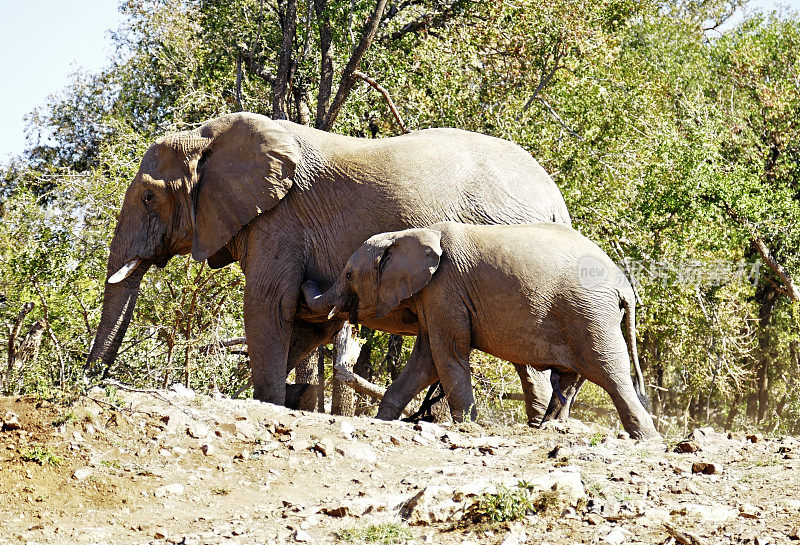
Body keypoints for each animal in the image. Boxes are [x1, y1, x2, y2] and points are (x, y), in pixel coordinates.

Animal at [87, 111, 572, 416]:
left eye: (148, 198)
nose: (86, 383)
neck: (207, 136)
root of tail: (556, 200)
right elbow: (305, 323)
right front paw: (290, 394)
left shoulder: (279, 222)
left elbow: (268, 305)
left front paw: (270, 401)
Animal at [304, 221, 660, 438]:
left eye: (349, 274)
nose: (305, 278)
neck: (413, 234)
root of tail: (624, 286)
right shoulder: (435, 297)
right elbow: (426, 359)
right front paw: (383, 421)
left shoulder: (445, 289)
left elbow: (447, 353)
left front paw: (465, 427)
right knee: (572, 378)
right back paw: (549, 430)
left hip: (590, 314)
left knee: (610, 373)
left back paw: (647, 438)